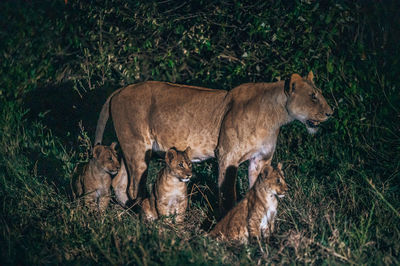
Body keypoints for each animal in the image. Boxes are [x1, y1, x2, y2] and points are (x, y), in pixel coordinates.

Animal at [95, 71, 332, 215]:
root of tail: (119, 90)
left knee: (120, 183)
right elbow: (227, 194)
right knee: (133, 186)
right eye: (313, 96)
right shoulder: (227, 156)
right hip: (137, 149)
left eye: (319, 94)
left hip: (130, 150)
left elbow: (258, 193)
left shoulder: (260, 160)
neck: (275, 117)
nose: (331, 113)